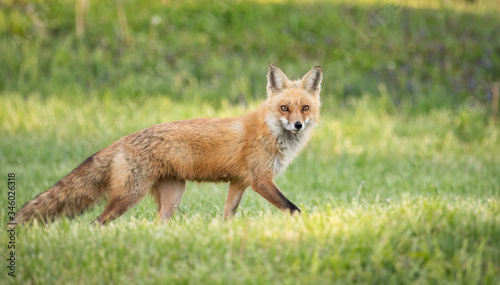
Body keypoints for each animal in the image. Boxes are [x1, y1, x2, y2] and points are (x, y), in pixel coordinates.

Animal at [15, 64, 322, 224]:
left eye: (305, 108)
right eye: (284, 108)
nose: (297, 125)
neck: (269, 131)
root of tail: (121, 139)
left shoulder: (240, 183)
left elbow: (228, 216)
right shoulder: (260, 180)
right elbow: (293, 208)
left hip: (172, 197)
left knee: (156, 224)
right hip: (129, 197)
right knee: (96, 222)